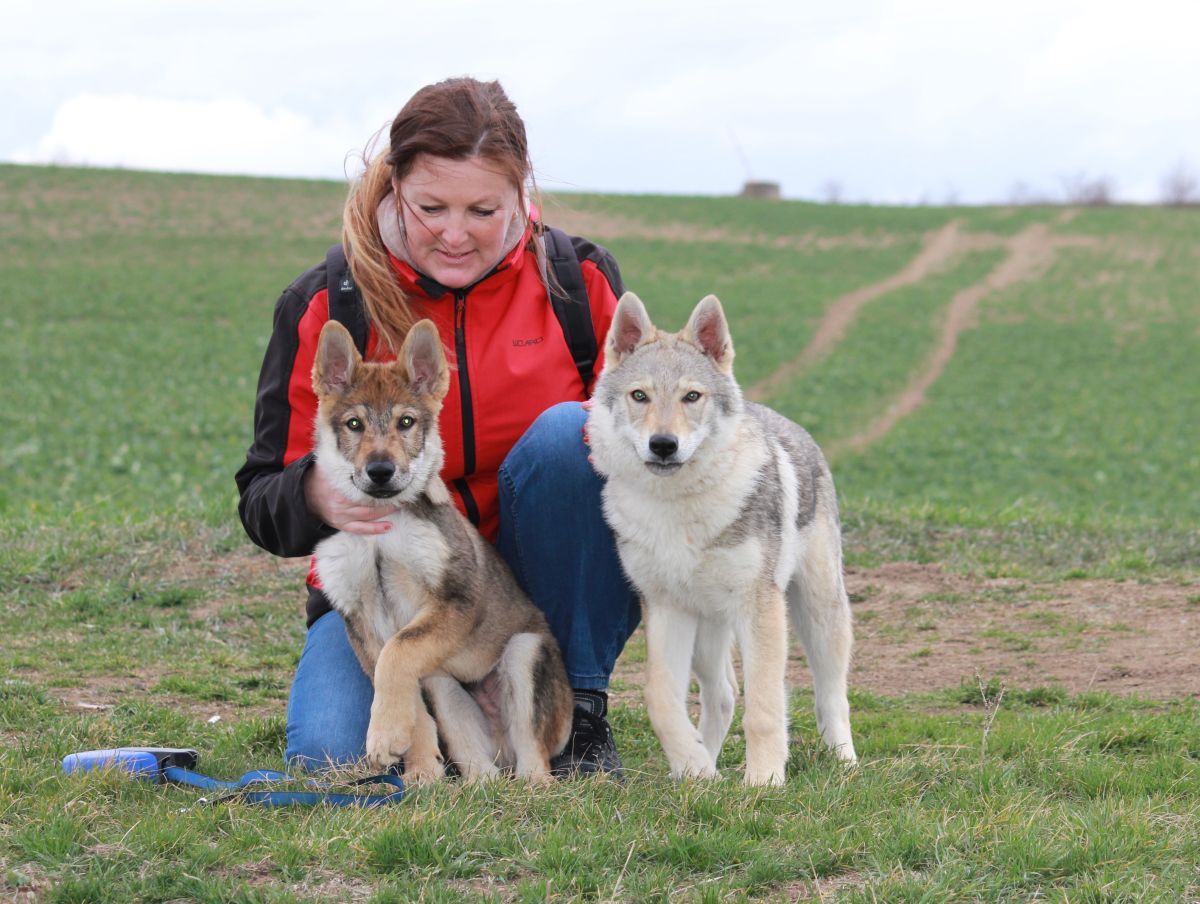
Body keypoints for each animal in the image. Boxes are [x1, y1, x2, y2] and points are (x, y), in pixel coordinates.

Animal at [309, 321, 571, 777]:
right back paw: (471, 783)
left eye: (406, 422)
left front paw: (386, 739)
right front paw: (414, 766)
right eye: (354, 423)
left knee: (536, 763)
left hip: (525, 653)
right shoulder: (364, 623)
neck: (381, 528)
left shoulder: (456, 599)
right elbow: (397, 681)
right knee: (480, 767)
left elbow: (399, 654)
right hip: (446, 687)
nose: (381, 471)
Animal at [588, 290, 854, 782]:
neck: (679, 511)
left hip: (818, 610)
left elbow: (766, 707)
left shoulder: (761, 608)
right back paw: (705, 766)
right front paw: (693, 770)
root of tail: (786, 421)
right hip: (707, 632)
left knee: (831, 694)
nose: (664, 445)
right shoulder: (666, 609)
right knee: (724, 694)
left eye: (692, 396)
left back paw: (845, 760)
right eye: (640, 396)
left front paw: (764, 781)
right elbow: (661, 699)